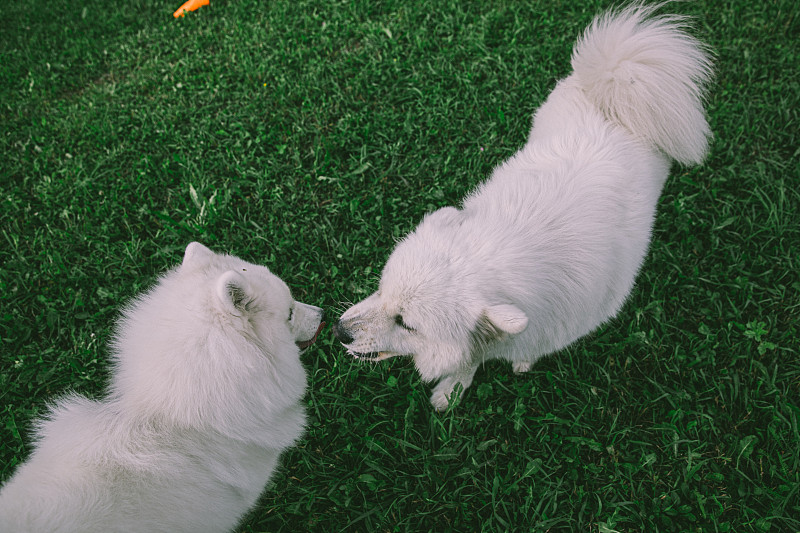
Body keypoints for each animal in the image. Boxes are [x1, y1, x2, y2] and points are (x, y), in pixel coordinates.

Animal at [332, 4, 712, 410]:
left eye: (405, 323)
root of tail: (617, 80)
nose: (338, 330)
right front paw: (454, 387)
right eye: (381, 290)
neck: (510, 251)